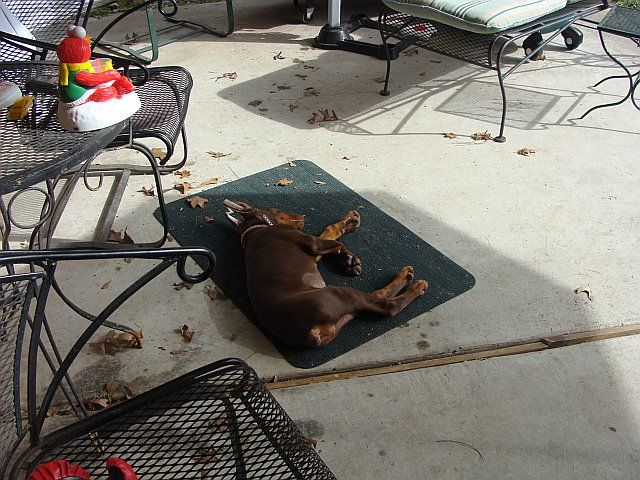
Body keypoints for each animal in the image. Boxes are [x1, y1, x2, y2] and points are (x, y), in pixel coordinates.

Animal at [222, 199, 428, 348]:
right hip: (339, 294)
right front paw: (350, 257)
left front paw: (348, 253)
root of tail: (308, 333)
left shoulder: (314, 252)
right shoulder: (312, 243)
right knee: (388, 306)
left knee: (373, 299)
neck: (255, 230)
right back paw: (412, 283)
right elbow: (335, 239)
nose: (302, 215)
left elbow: (331, 235)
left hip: (342, 317)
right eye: (274, 208)